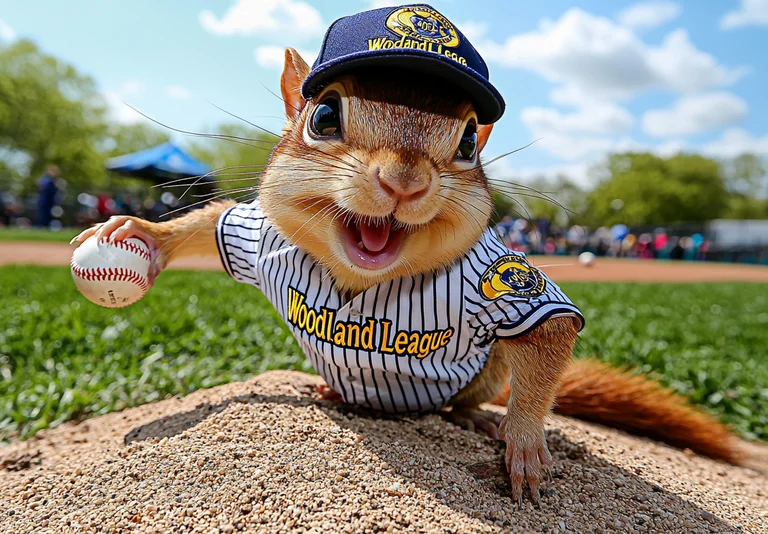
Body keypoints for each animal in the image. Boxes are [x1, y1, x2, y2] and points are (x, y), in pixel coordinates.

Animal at [72, 41, 761, 502]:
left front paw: (526, 447)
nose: (403, 181)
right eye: (322, 116)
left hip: (485, 372)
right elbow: (213, 222)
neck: (361, 281)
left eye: (469, 142)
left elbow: (550, 331)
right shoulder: (259, 238)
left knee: (480, 393)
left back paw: (472, 418)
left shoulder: (500, 279)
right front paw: (144, 237)